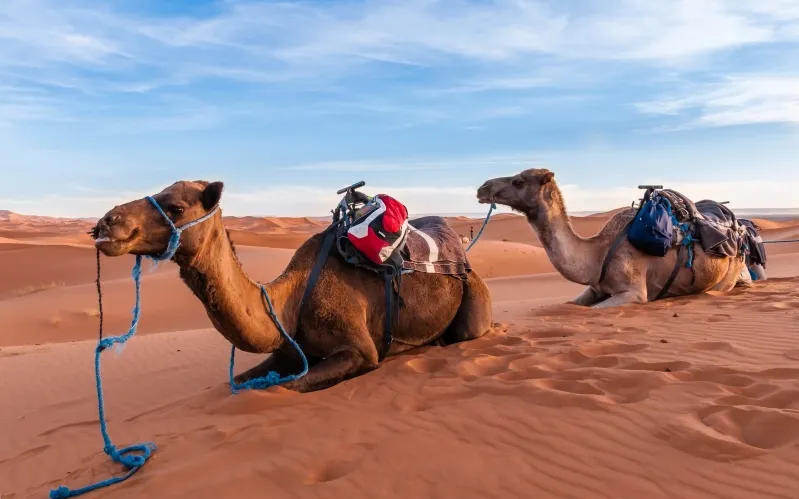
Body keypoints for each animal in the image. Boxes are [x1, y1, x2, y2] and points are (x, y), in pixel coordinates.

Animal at [92, 180, 493, 392]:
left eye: (175, 207)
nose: (106, 223)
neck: (291, 300)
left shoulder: (360, 351)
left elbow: (284, 386)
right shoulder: (289, 350)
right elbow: (238, 383)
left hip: (474, 295)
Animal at [476, 168, 749, 309]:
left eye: (518, 181)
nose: (482, 188)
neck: (598, 253)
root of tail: (742, 229)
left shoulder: (634, 293)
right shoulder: (594, 288)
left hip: (725, 278)